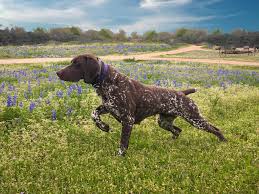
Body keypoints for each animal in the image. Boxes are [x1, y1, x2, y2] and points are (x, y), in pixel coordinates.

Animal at [57, 54, 228, 156]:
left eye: (76, 64)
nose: (57, 73)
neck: (107, 81)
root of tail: (182, 93)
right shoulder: (108, 107)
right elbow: (94, 113)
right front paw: (103, 126)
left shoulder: (128, 120)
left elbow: (123, 143)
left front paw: (120, 156)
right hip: (163, 121)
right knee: (178, 130)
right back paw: (171, 143)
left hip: (195, 119)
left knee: (215, 129)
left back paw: (223, 142)